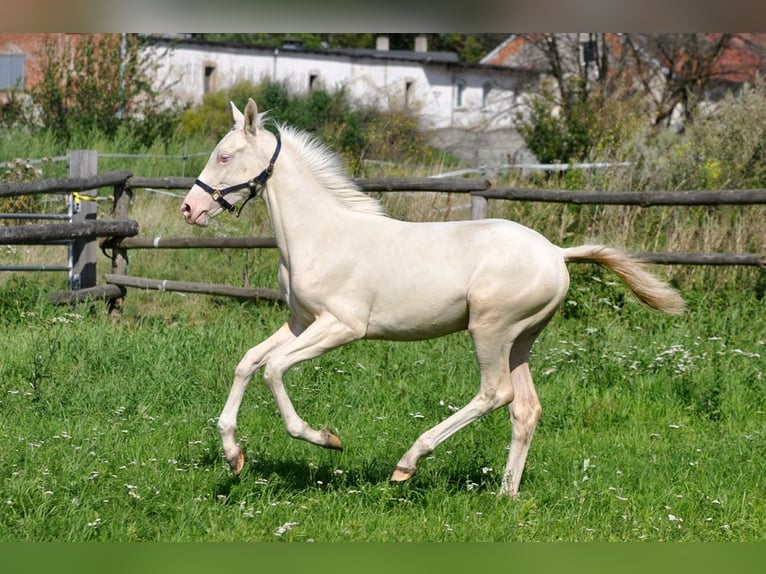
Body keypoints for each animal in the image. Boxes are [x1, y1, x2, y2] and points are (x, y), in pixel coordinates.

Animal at [181, 98, 685, 497]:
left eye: (224, 156)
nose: (190, 208)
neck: (321, 234)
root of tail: (557, 253)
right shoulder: (302, 322)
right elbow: (248, 362)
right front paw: (233, 455)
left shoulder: (342, 327)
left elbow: (274, 369)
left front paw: (326, 438)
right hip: (521, 340)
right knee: (525, 409)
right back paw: (506, 495)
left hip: (490, 329)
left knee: (495, 393)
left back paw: (408, 463)